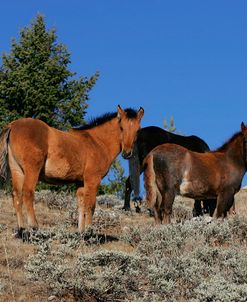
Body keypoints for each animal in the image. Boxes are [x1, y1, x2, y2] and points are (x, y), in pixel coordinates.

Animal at [0, 105, 145, 235]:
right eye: (121, 128)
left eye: (138, 130)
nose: (127, 153)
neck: (97, 142)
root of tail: (12, 125)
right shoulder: (93, 180)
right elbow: (90, 206)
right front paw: (89, 232)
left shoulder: (80, 183)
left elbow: (81, 205)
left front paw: (81, 232)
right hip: (32, 170)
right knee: (28, 193)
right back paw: (34, 226)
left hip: (17, 171)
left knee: (16, 196)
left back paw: (22, 229)